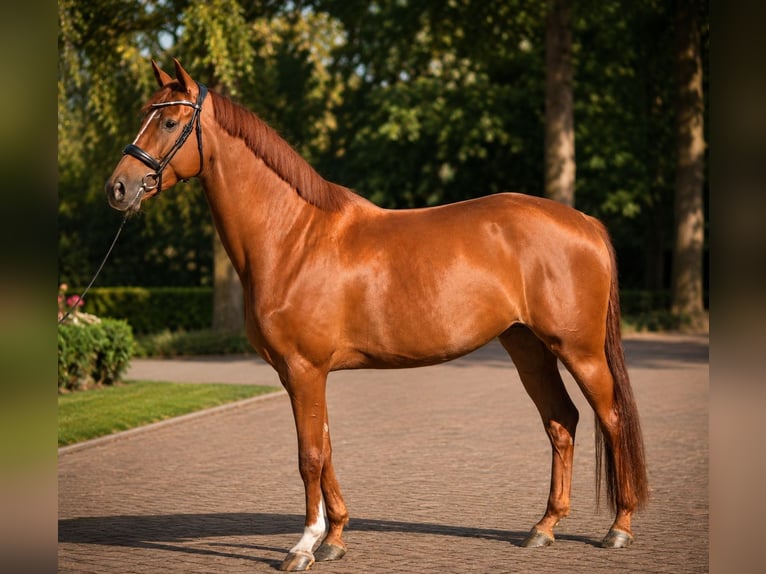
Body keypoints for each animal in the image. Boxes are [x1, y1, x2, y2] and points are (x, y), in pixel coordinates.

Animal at [106, 59, 648, 571]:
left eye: (170, 121)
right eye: (145, 115)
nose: (119, 188)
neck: (293, 237)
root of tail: (585, 223)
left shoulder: (304, 370)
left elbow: (309, 456)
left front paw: (303, 546)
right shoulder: (300, 374)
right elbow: (325, 450)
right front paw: (334, 539)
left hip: (579, 350)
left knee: (611, 417)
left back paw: (619, 528)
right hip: (527, 347)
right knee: (561, 421)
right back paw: (544, 527)